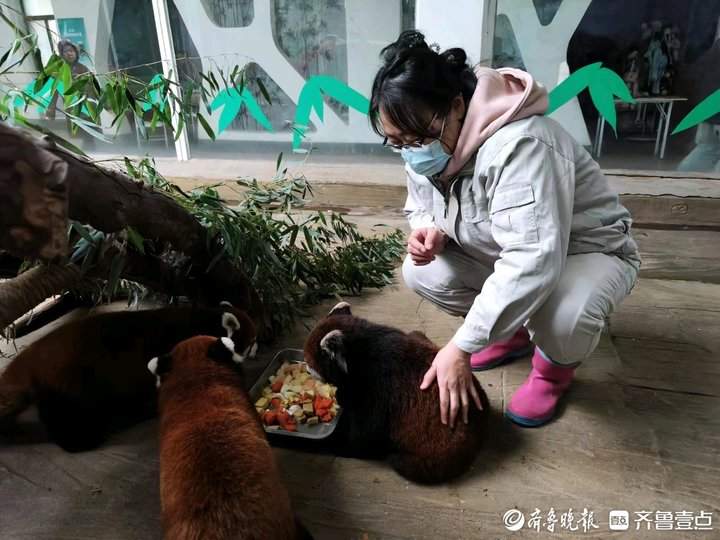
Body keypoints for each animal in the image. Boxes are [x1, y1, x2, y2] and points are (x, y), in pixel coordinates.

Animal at [0, 304, 258, 452]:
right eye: (251, 343)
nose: (256, 350)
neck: (203, 319)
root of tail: (31, 358)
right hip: (73, 383)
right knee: (76, 428)